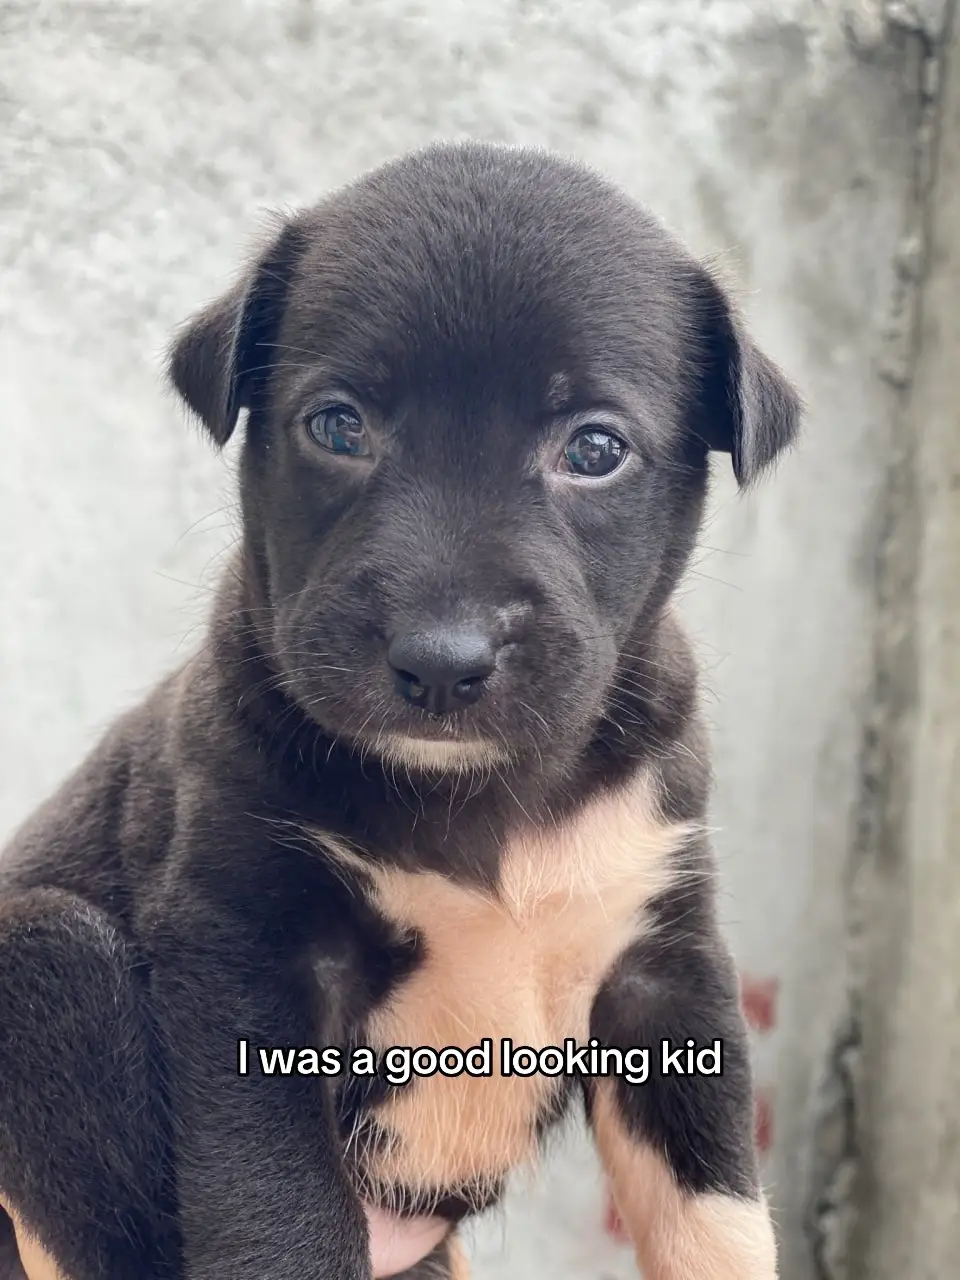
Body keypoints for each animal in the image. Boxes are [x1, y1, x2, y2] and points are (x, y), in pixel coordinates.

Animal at [0, 142, 798, 1280]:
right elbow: (280, 1220)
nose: (442, 662)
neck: (476, 791)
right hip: (45, 958)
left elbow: (718, 1220)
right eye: (339, 425)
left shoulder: (664, 970)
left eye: (595, 449)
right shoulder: (246, 955)